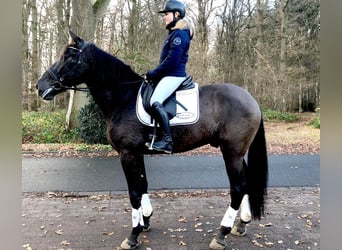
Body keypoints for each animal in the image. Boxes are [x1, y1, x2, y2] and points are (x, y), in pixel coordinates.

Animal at [36, 31, 268, 250]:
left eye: (69, 56)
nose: (40, 86)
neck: (124, 97)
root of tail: (251, 99)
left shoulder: (127, 153)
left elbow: (134, 192)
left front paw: (133, 235)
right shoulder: (137, 153)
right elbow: (143, 185)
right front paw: (145, 221)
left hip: (231, 152)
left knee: (237, 188)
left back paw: (221, 234)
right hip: (237, 152)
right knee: (246, 183)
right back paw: (241, 225)